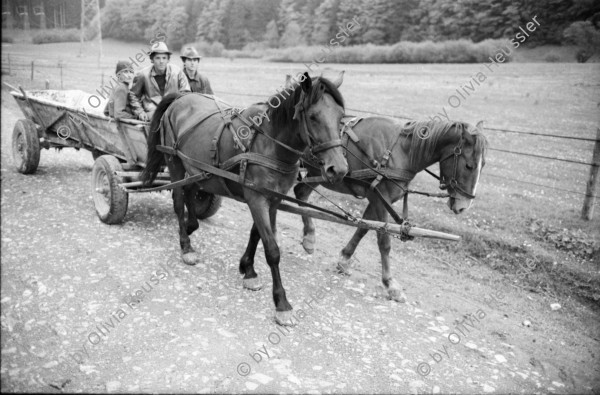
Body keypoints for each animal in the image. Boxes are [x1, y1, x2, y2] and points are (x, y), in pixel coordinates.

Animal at [141, 71, 346, 324]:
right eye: (313, 117)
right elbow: (272, 249)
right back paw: (186, 246)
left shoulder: (272, 199)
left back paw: (191, 226)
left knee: (190, 192)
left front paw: (248, 270)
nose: (339, 169)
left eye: (341, 117)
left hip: (196, 168)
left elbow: (257, 234)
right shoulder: (256, 199)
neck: (268, 143)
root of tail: (180, 97)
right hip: (175, 161)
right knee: (179, 201)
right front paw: (281, 303)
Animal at [292, 117, 488, 304]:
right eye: (469, 165)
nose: (464, 206)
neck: (400, 151)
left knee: (301, 193)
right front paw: (390, 284)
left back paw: (309, 236)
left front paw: (344, 259)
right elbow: (384, 241)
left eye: (483, 165)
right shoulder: (380, 199)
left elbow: (363, 228)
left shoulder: (376, 199)